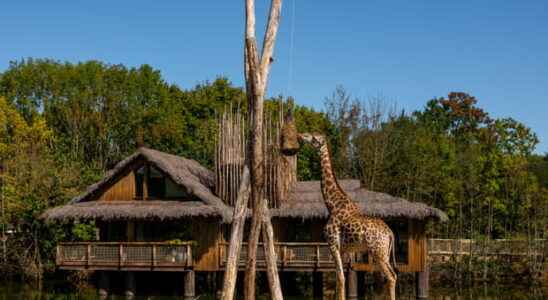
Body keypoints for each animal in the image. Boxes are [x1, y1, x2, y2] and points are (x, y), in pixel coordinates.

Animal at [300, 132, 398, 300]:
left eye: (313, 138)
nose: (300, 135)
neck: (332, 205)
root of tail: (390, 233)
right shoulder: (344, 249)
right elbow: (340, 279)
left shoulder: (333, 243)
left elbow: (340, 278)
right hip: (384, 252)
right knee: (393, 276)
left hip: (378, 252)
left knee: (390, 277)